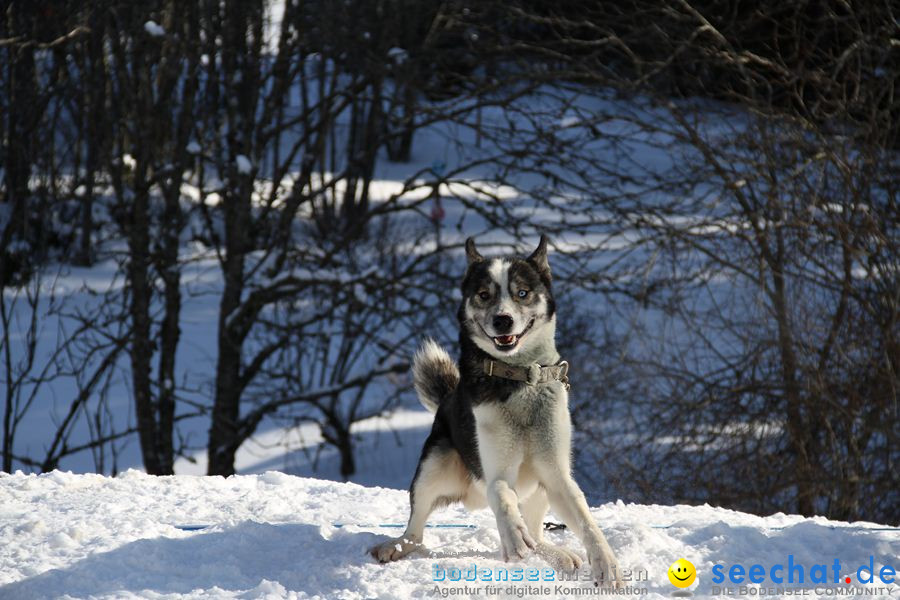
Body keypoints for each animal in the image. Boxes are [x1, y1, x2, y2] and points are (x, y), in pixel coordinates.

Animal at [370, 237, 624, 588]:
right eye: (483, 294)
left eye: (522, 292)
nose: (502, 320)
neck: (521, 379)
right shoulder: (497, 472)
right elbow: (503, 494)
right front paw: (513, 537)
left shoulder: (556, 474)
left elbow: (587, 521)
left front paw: (606, 564)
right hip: (435, 464)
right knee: (416, 531)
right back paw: (396, 546)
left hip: (540, 490)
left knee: (537, 534)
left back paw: (557, 554)